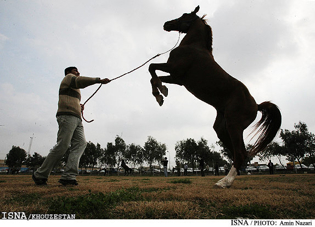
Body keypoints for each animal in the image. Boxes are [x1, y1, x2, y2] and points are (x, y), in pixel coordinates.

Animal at [149, 6, 282, 189]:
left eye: (185, 15)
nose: (167, 24)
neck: (192, 47)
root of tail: (256, 105)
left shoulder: (174, 70)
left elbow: (151, 67)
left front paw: (160, 93)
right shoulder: (177, 78)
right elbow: (154, 77)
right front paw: (161, 93)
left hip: (234, 125)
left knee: (240, 153)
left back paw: (224, 182)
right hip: (222, 128)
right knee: (240, 153)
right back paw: (227, 179)